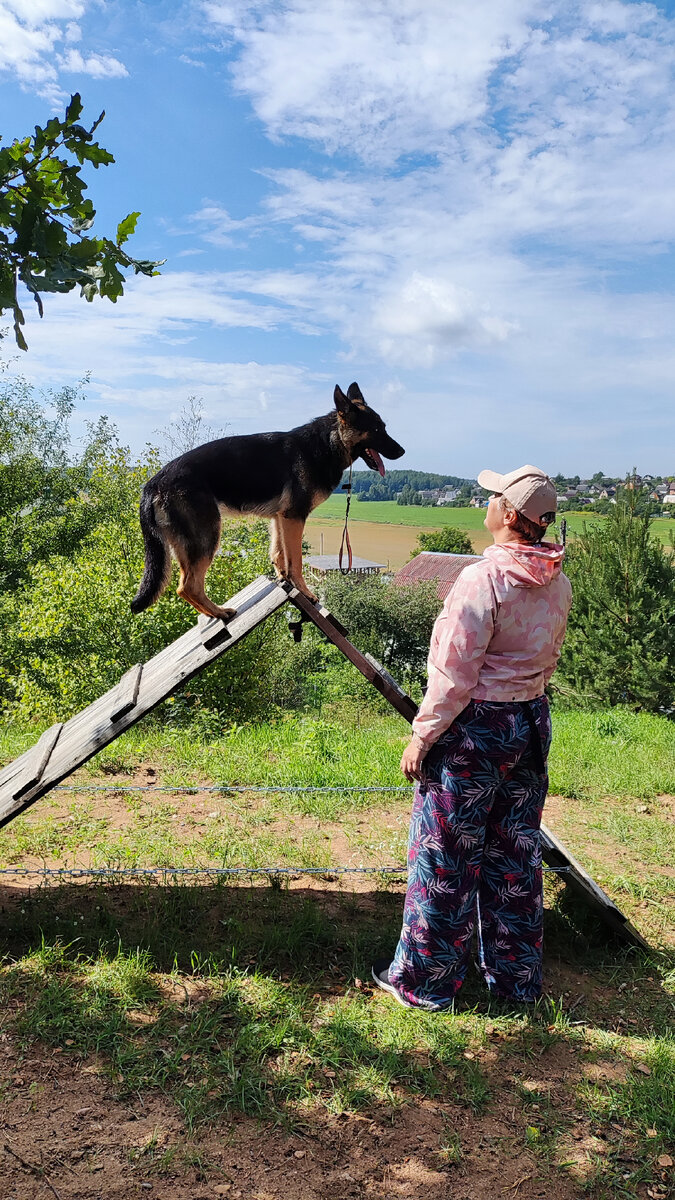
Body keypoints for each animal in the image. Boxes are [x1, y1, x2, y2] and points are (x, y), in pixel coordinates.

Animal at [131, 381, 403, 619]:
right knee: (187, 585)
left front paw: (283, 578)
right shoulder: (295, 517)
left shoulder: (280, 518)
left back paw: (212, 613)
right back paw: (220, 613)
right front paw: (304, 591)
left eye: (384, 426)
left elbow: (279, 552)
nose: (402, 451)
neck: (327, 443)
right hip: (207, 537)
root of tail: (154, 482)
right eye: (376, 429)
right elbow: (297, 560)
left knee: (186, 585)